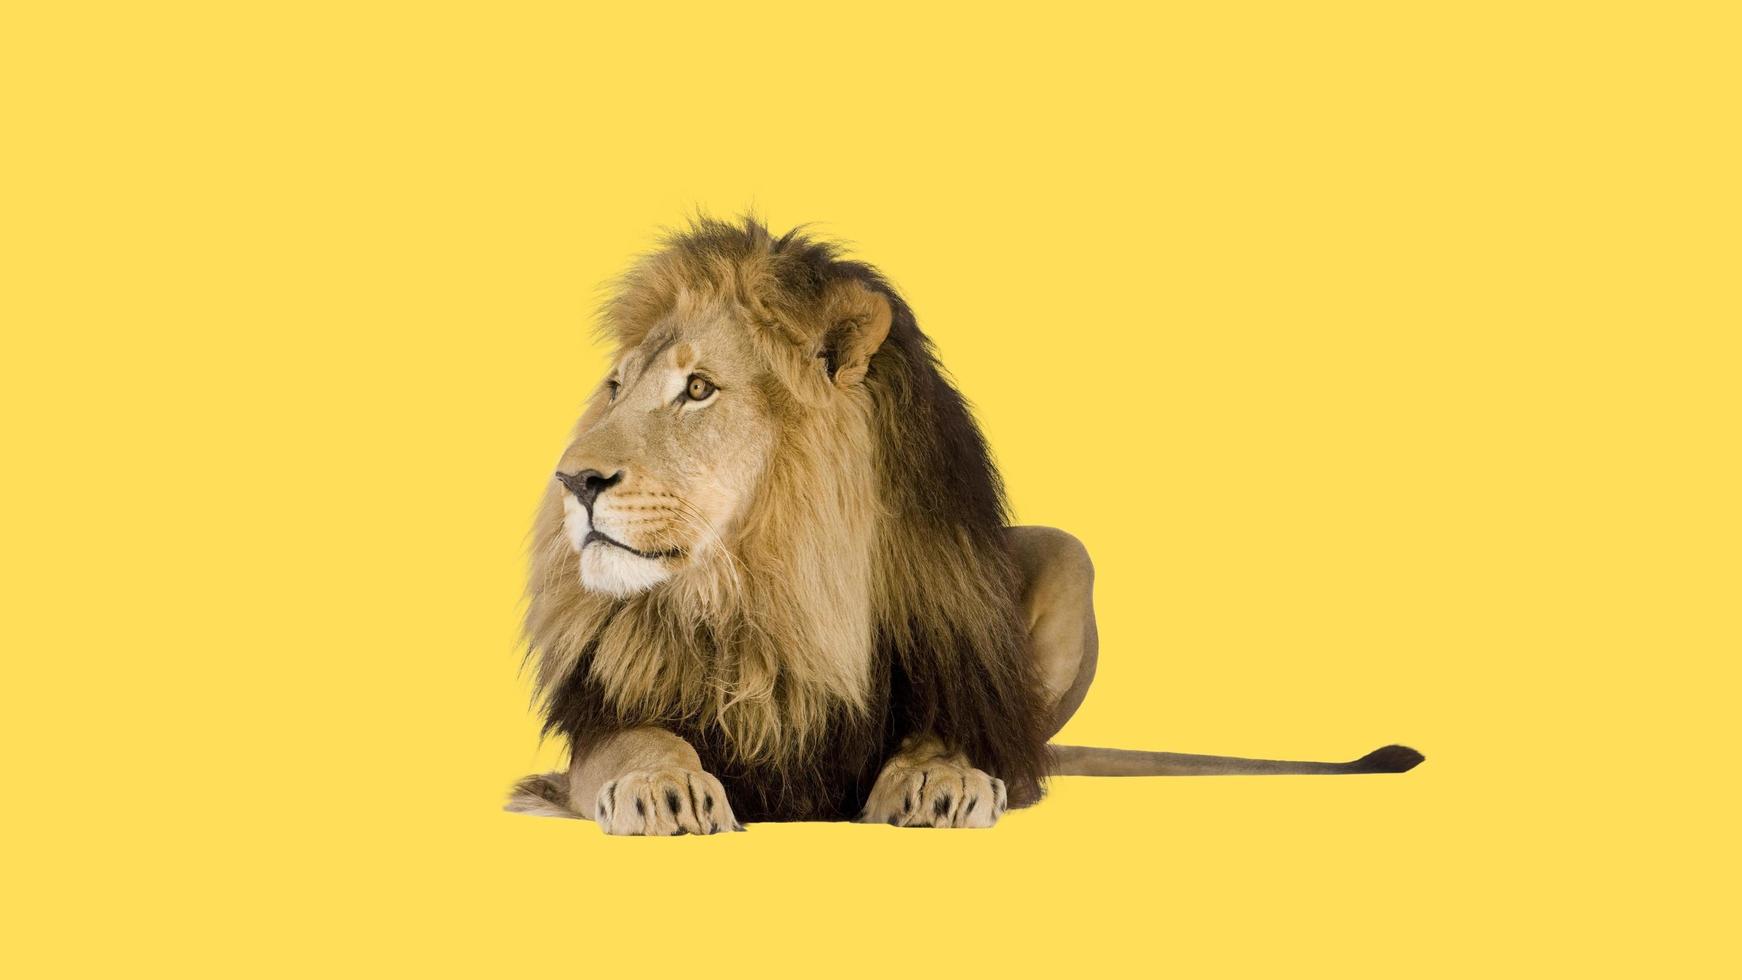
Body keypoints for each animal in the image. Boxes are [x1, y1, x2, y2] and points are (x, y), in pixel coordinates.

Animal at [507, 216, 1423, 833]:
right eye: (617, 387)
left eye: (698, 389)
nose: (574, 481)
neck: (765, 592)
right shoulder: (604, 722)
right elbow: (637, 743)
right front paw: (660, 785)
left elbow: (950, 735)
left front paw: (940, 779)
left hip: (1071, 558)